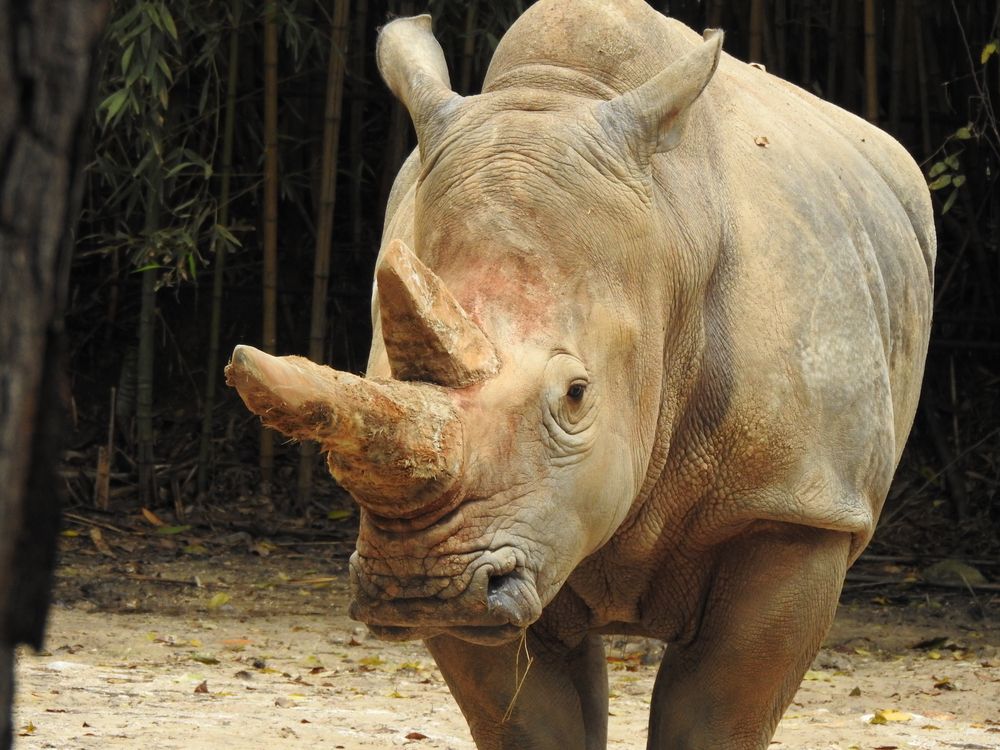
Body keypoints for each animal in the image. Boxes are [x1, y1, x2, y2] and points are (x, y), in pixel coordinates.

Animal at [225, 1, 935, 747]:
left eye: (575, 395)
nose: (420, 586)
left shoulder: (793, 505)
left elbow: (717, 712)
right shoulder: (513, 538)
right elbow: (528, 717)